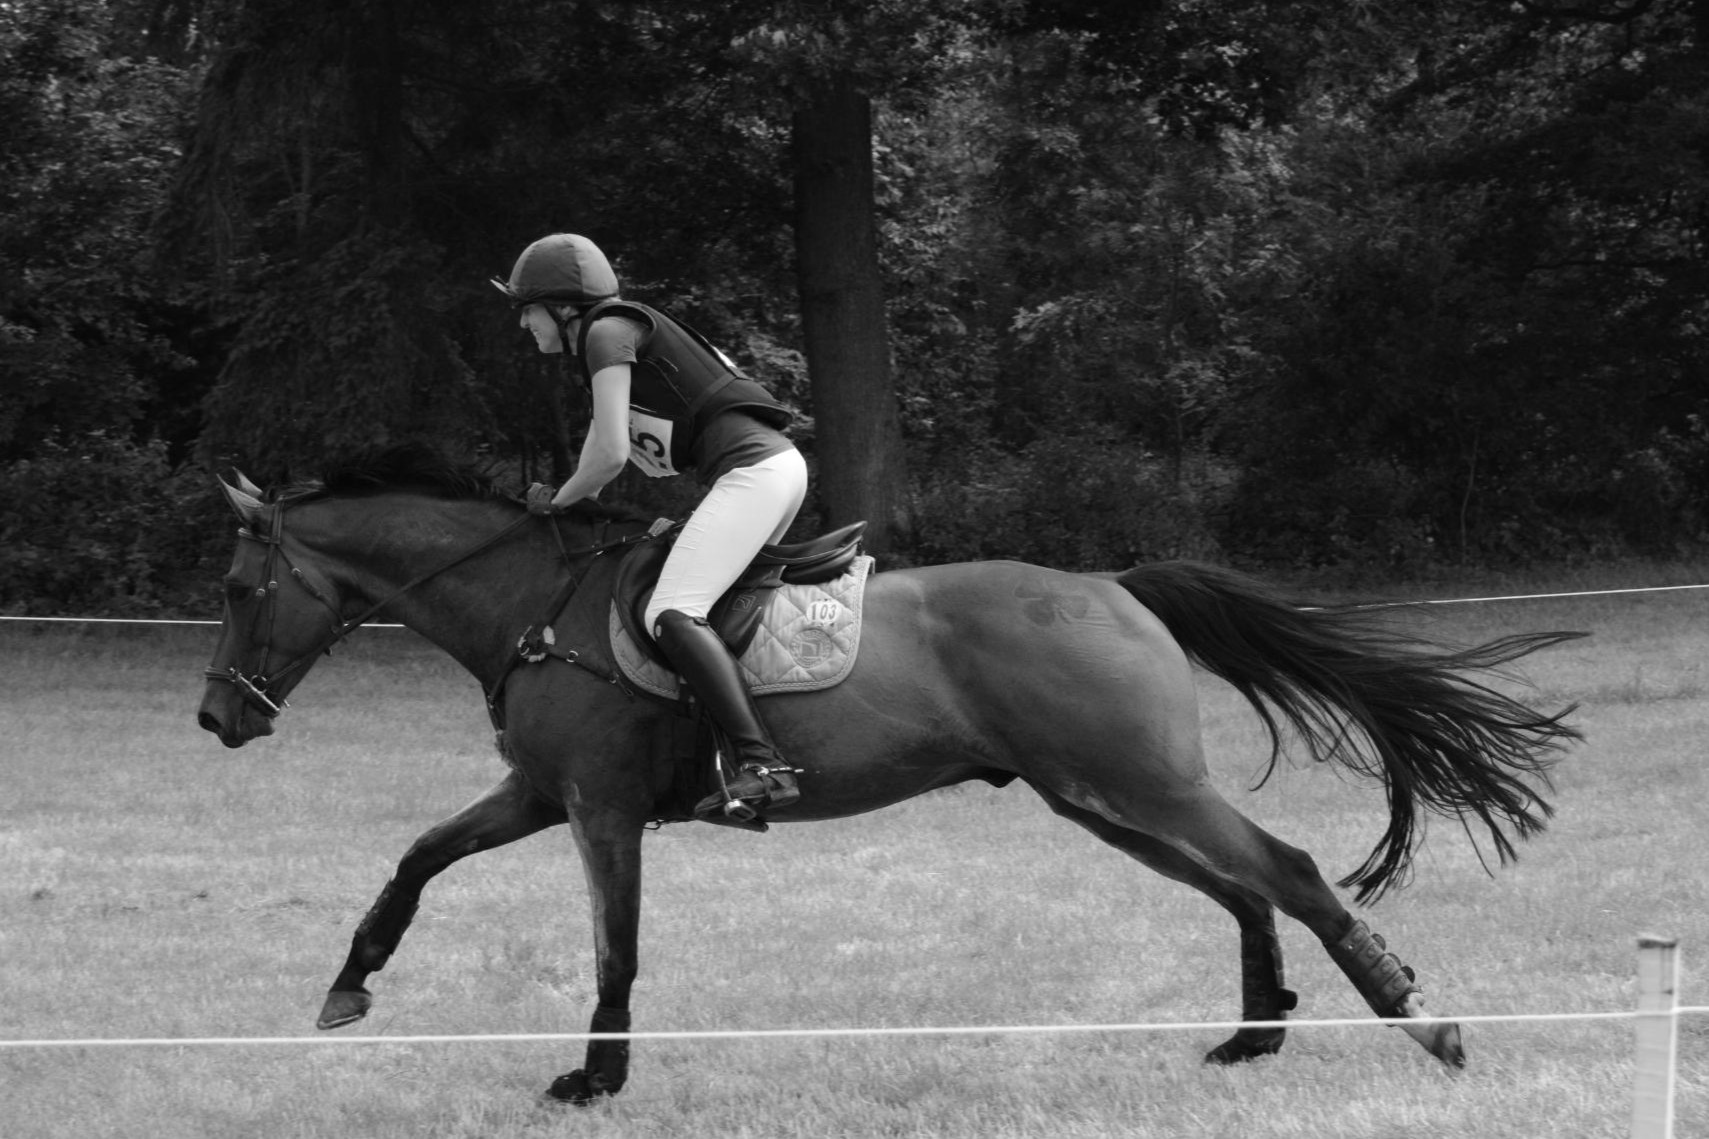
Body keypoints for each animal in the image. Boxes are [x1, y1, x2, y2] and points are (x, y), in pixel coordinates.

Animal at [195, 445, 1583, 1103]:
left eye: (238, 587)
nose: (216, 718)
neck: (532, 605)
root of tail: (1113, 585)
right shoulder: (540, 796)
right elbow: (418, 856)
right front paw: (347, 987)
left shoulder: (597, 809)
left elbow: (614, 948)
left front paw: (596, 1077)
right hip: (1095, 794)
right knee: (1241, 884)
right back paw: (1253, 1034)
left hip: (1131, 779)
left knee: (1281, 866)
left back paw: (1419, 1018)